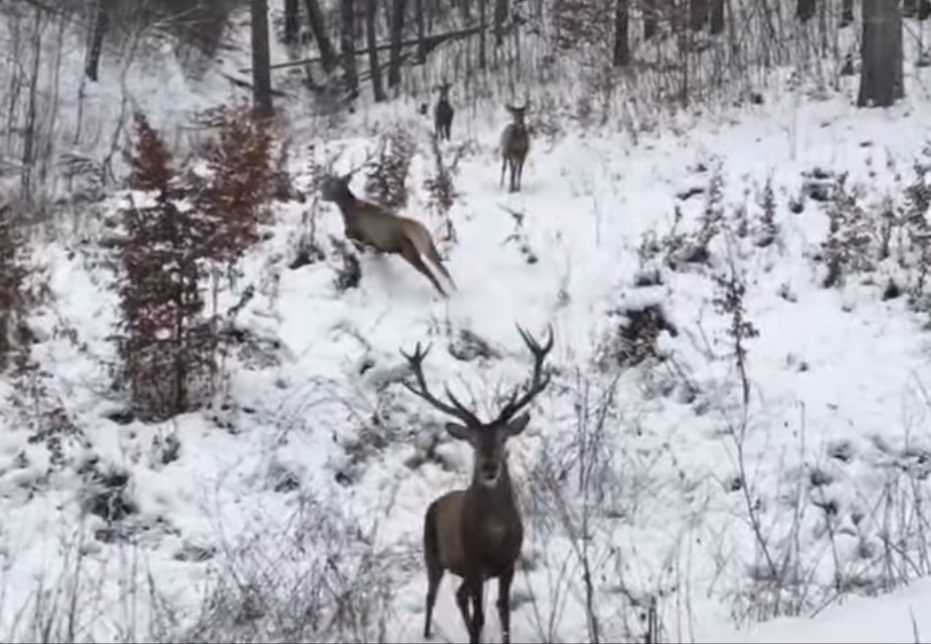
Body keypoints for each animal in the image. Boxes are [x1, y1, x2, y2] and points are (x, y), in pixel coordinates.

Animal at [318, 174, 456, 300]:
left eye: (328, 185)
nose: (322, 195)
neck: (347, 209)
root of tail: (419, 228)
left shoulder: (357, 235)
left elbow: (356, 243)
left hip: (409, 252)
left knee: (431, 274)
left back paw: (445, 295)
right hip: (427, 246)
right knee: (442, 268)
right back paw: (454, 290)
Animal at [398, 328, 552, 644]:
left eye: (504, 438)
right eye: (473, 443)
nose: (489, 468)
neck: (494, 534)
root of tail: (436, 502)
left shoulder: (508, 564)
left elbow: (503, 612)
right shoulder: (474, 563)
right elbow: (481, 616)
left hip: (463, 572)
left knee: (459, 597)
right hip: (433, 554)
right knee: (434, 595)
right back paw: (428, 633)